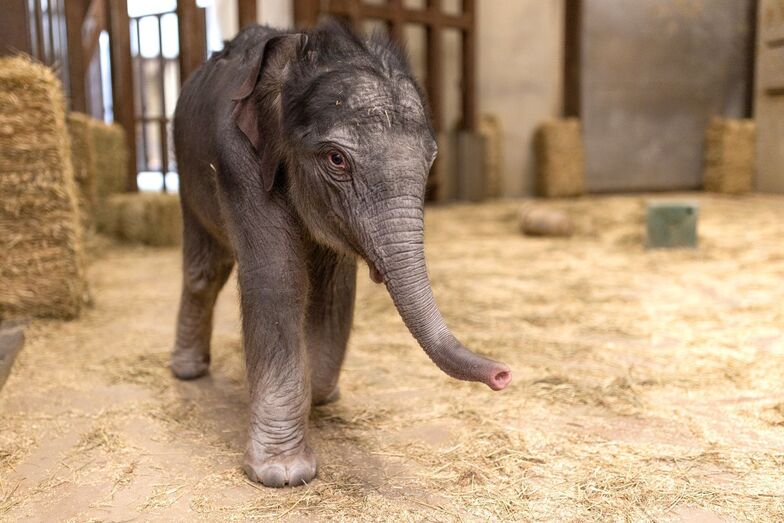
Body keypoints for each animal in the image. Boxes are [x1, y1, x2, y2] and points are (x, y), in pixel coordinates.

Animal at [171, 20, 511, 488]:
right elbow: (278, 279)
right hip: (187, 175)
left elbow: (332, 288)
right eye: (336, 159)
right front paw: (282, 474)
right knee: (205, 270)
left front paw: (320, 395)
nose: (503, 375)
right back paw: (187, 372)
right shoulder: (238, 161)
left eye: (431, 161)